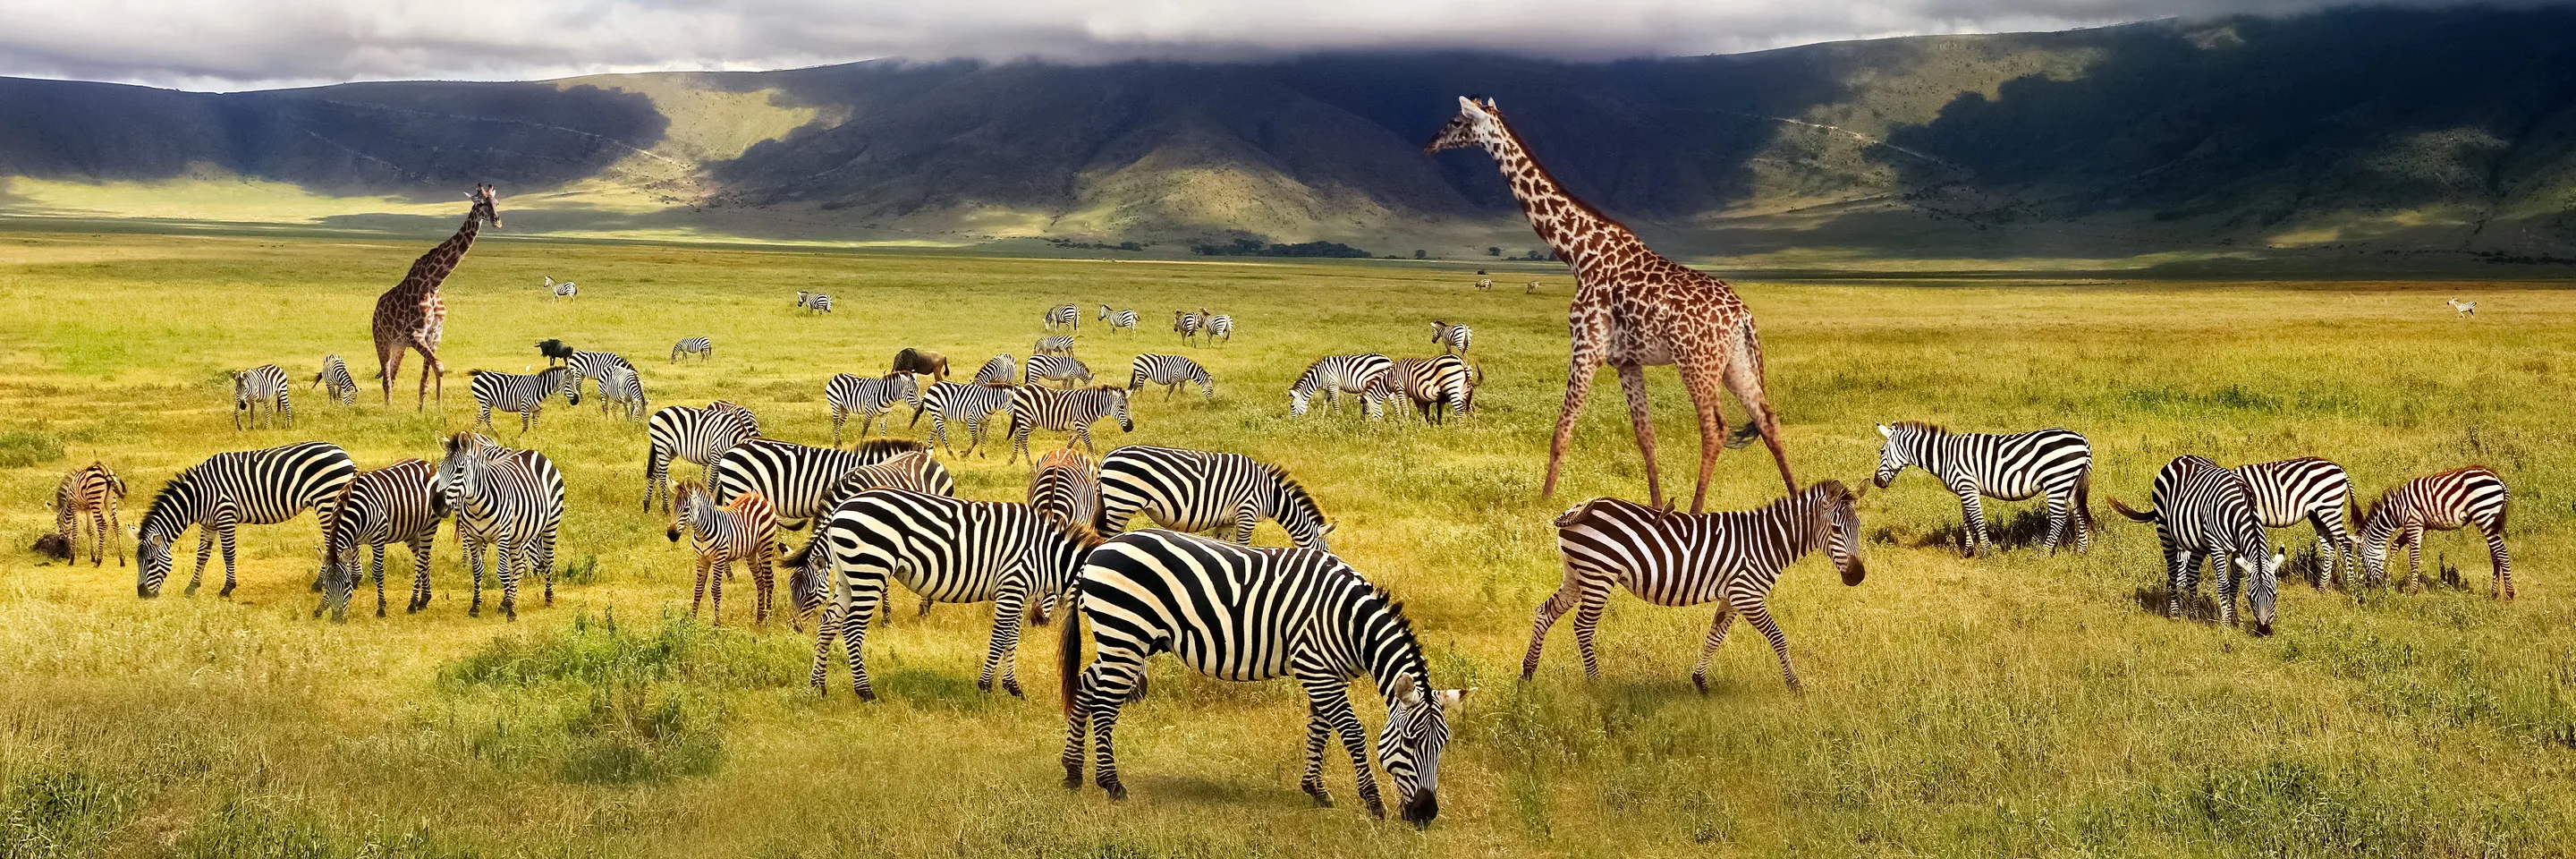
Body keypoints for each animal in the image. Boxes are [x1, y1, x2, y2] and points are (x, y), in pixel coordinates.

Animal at [373, 185, 500, 409]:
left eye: (497, 202)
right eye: (480, 203)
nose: (496, 220)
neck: (433, 283)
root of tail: (376, 310)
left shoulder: (433, 336)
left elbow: (430, 374)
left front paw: (429, 410)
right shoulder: (414, 334)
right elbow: (439, 366)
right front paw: (433, 409)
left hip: (400, 346)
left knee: (393, 376)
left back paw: (392, 406)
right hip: (382, 340)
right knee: (387, 378)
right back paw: (388, 410)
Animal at [1427, 97, 1792, 512]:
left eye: (1456, 121)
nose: (1430, 144)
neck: (1577, 252)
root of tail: (1741, 314)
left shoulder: (1586, 346)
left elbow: (1562, 428)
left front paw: (1544, 502)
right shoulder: (1626, 361)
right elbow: (1645, 436)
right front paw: (1655, 506)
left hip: (1697, 361)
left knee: (1715, 428)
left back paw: (1697, 512)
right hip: (1735, 362)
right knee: (1767, 420)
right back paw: (1800, 504)